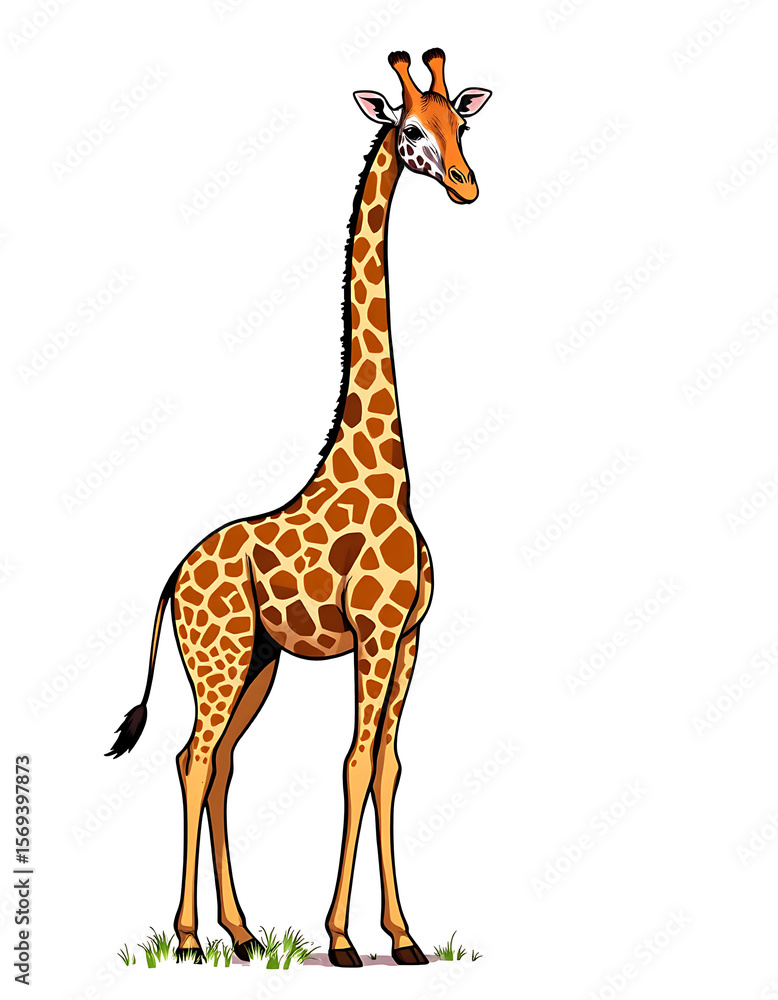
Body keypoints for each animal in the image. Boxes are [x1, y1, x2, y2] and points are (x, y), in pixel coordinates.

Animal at [107, 48, 491, 968]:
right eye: (412, 130)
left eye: (464, 123)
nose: (466, 185)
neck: (386, 471)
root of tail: (172, 578)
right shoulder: (377, 631)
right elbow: (353, 762)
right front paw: (344, 939)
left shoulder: (412, 636)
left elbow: (388, 767)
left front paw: (406, 937)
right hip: (218, 658)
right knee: (195, 757)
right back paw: (188, 940)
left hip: (256, 661)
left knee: (211, 763)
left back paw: (242, 934)